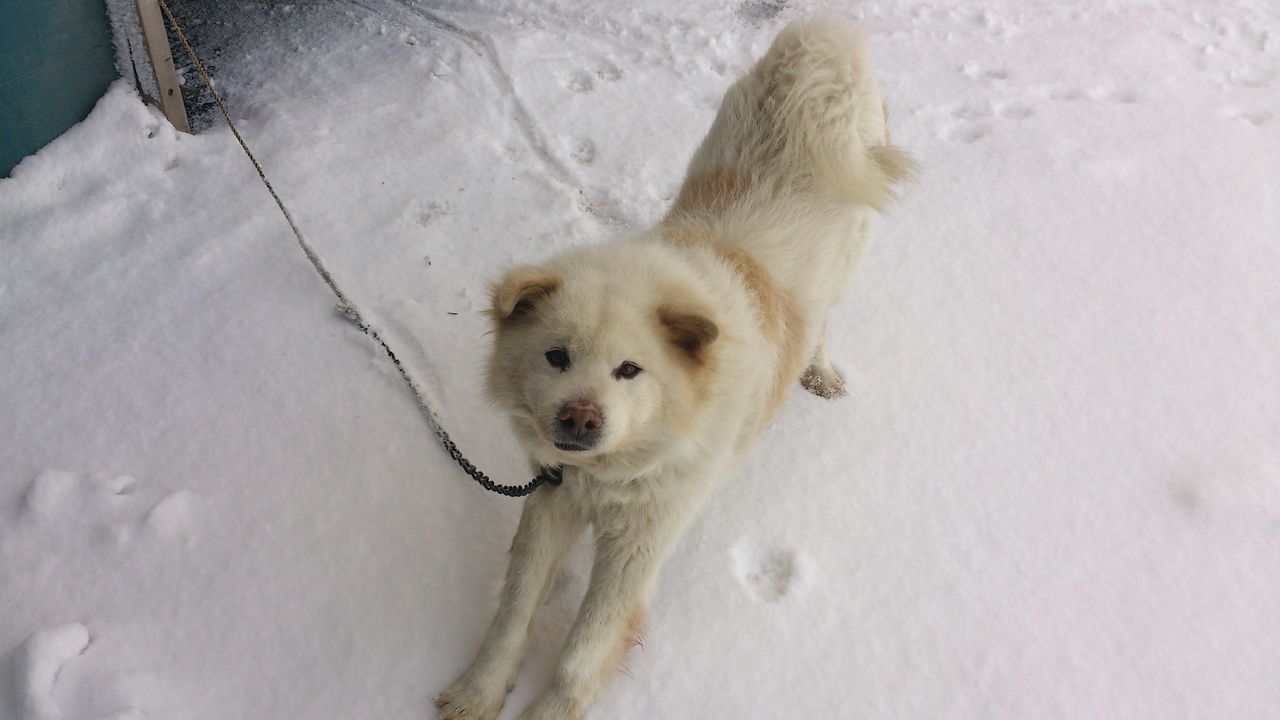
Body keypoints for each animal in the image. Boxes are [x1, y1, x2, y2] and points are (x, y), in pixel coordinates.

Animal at [437, 16, 911, 717]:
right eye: (556, 356)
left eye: (630, 370)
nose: (579, 418)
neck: (609, 474)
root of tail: (823, 38)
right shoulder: (551, 498)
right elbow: (513, 611)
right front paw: (477, 692)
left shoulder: (641, 540)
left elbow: (580, 653)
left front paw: (548, 709)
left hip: (849, 255)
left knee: (825, 320)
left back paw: (820, 373)